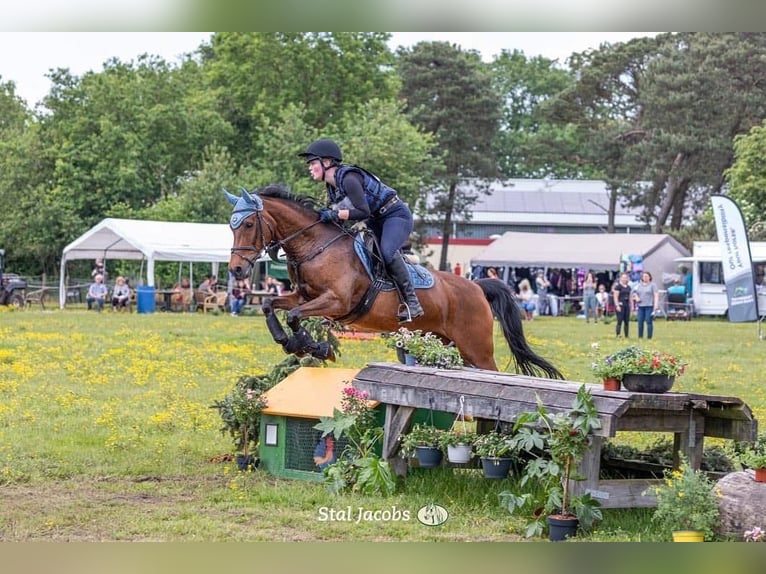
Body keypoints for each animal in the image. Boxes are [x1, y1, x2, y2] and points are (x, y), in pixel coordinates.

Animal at [225, 184, 560, 378]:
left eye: (249, 224)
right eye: (232, 227)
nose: (237, 271)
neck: (316, 246)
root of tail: (477, 286)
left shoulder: (335, 302)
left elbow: (294, 315)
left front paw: (311, 346)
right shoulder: (305, 297)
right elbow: (271, 304)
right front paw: (290, 342)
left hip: (476, 348)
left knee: (490, 370)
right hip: (444, 342)